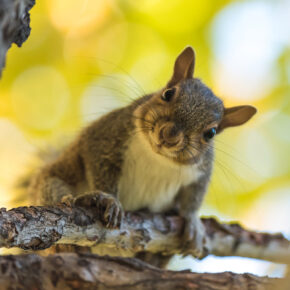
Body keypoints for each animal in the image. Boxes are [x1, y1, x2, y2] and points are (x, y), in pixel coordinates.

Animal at [28, 46, 258, 266]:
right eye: (168, 93)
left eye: (210, 133)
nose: (169, 135)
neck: (157, 156)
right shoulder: (104, 138)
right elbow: (99, 168)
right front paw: (109, 200)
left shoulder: (200, 172)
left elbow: (194, 197)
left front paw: (193, 223)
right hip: (51, 182)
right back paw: (79, 205)